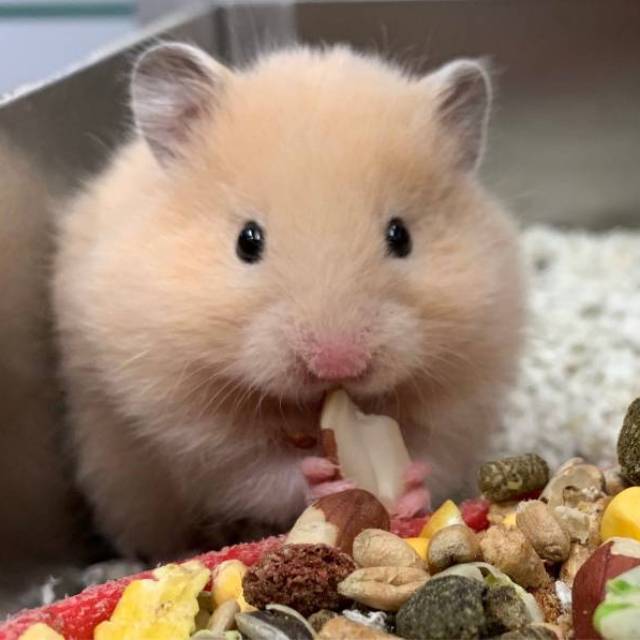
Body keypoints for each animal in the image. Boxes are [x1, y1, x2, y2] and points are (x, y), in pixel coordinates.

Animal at [52, 43, 525, 561]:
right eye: (247, 241)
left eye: (401, 236)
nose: (338, 364)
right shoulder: (183, 428)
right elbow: (255, 471)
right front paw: (323, 482)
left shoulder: (465, 393)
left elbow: (434, 451)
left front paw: (409, 485)